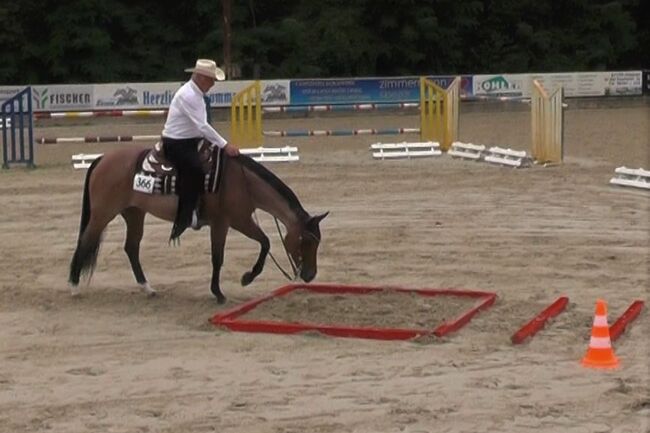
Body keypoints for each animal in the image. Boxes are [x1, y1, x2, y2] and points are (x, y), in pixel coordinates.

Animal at [68, 143, 326, 302]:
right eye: (307, 240)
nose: (311, 275)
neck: (241, 182)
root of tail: (102, 158)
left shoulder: (238, 221)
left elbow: (262, 243)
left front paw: (240, 281)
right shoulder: (230, 222)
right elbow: (224, 256)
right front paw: (228, 288)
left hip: (134, 213)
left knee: (131, 248)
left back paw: (148, 288)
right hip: (103, 214)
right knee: (85, 241)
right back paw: (73, 287)